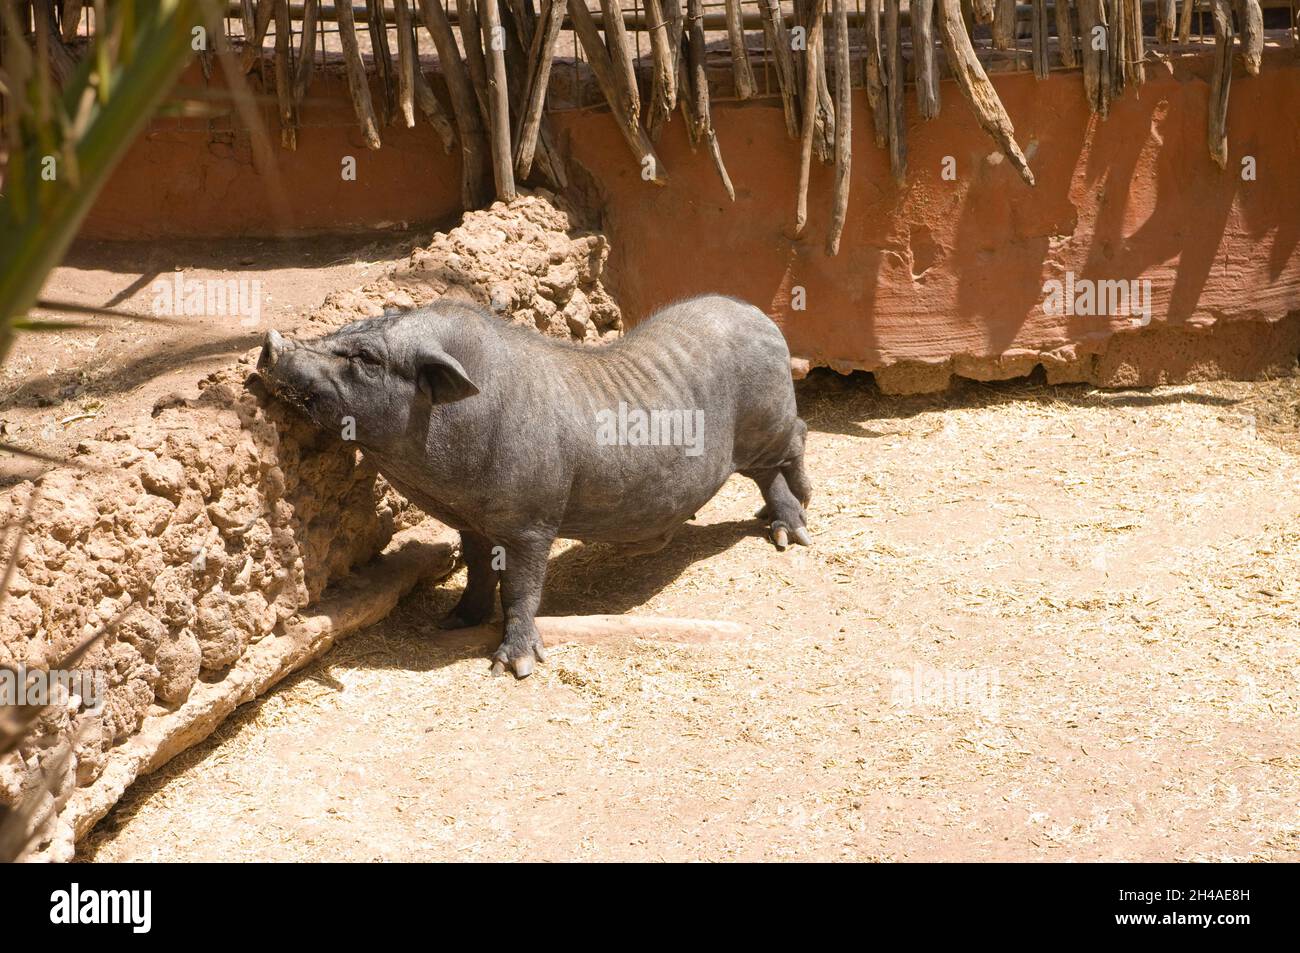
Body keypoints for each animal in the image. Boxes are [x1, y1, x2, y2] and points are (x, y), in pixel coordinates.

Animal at [255, 294, 811, 678]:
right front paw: (453, 623)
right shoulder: (472, 521)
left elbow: (521, 587)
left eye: (367, 359)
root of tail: (759, 315)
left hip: (768, 420)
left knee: (792, 447)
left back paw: (793, 531)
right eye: (342, 330)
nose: (269, 343)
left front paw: (514, 668)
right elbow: (478, 569)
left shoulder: (531, 520)